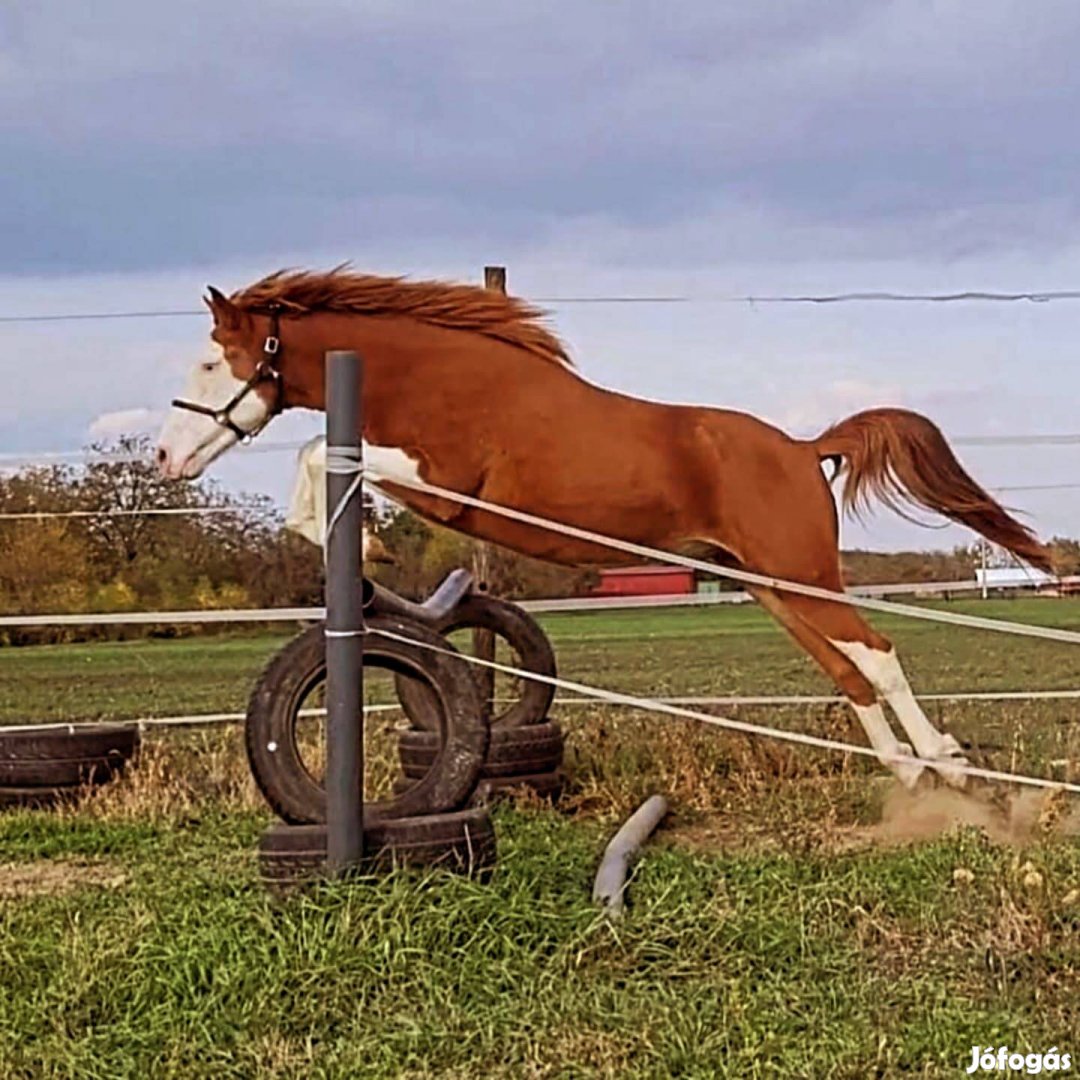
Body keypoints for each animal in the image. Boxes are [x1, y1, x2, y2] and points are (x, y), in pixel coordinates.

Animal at [156, 267, 1049, 794]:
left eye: (210, 363)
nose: (165, 457)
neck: (435, 376)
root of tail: (802, 448)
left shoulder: (442, 481)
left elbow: (319, 453)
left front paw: (365, 560)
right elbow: (321, 463)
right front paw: (368, 572)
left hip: (800, 574)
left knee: (877, 654)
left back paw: (945, 762)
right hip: (769, 585)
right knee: (848, 668)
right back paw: (905, 769)